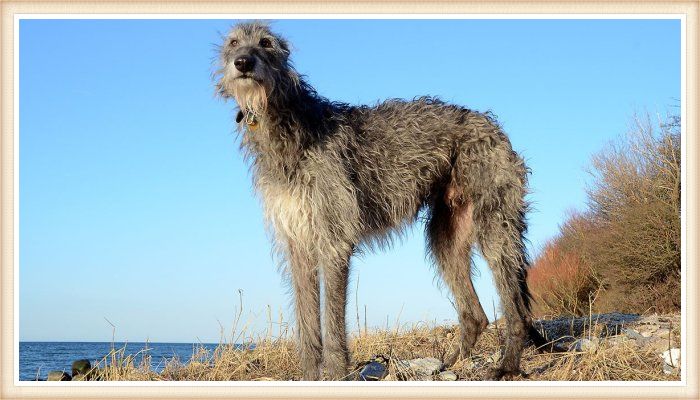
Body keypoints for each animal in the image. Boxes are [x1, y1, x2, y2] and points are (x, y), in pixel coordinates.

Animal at [213, 21, 548, 382]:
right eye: (233, 42)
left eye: (266, 43)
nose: (243, 63)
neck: (289, 124)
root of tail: (492, 125)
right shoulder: (298, 243)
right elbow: (307, 322)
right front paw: (309, 375)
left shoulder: (333, 239)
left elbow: (332, 323)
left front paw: (335, 372)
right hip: (447, 234)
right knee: (475, 313)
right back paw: (449, 363)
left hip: (494, 224)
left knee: (515, 309)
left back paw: (507, 366)